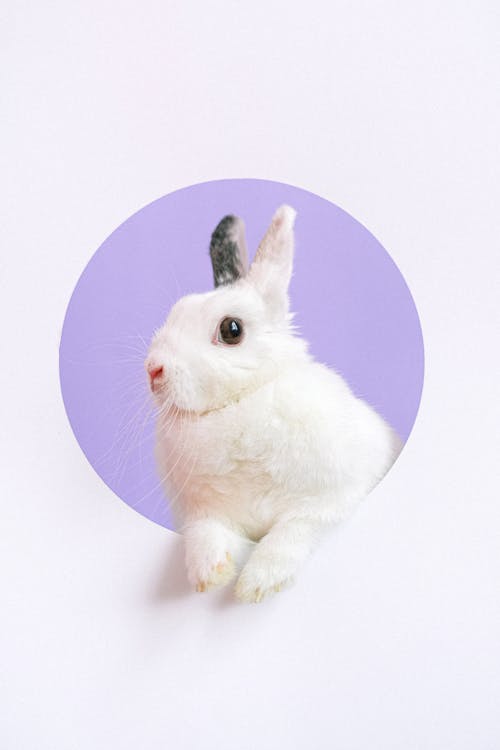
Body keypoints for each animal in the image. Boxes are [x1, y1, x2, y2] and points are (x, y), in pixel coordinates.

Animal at [145, 205, 402, 603]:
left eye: (231, 330)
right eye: (177, 311)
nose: (153, 369)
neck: (241, 402)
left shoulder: (333, 497)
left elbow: (293, 532)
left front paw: (257, 583)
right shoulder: (201, 512)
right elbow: (206, 534)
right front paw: (209, 574)